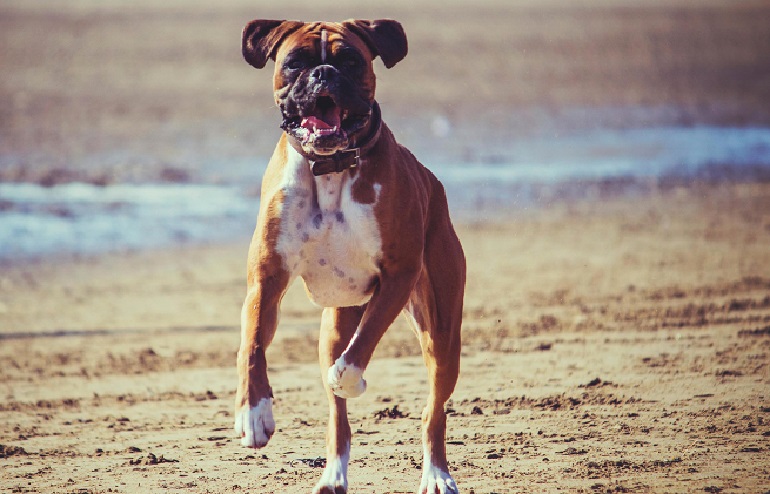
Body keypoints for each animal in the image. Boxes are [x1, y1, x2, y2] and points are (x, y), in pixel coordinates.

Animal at [232, 19, 462, 494]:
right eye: (295, 61)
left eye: (351, 61)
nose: (323, 73)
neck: (330, 167)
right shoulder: (265, 281)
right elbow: (252, 346)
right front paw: (253, 415)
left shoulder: (398, 276)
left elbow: (361, 350)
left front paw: (351, 380)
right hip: (334, 325)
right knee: (338, 420)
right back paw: (333, 475)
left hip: (442, 333)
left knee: (433, 411)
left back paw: (436, 474)